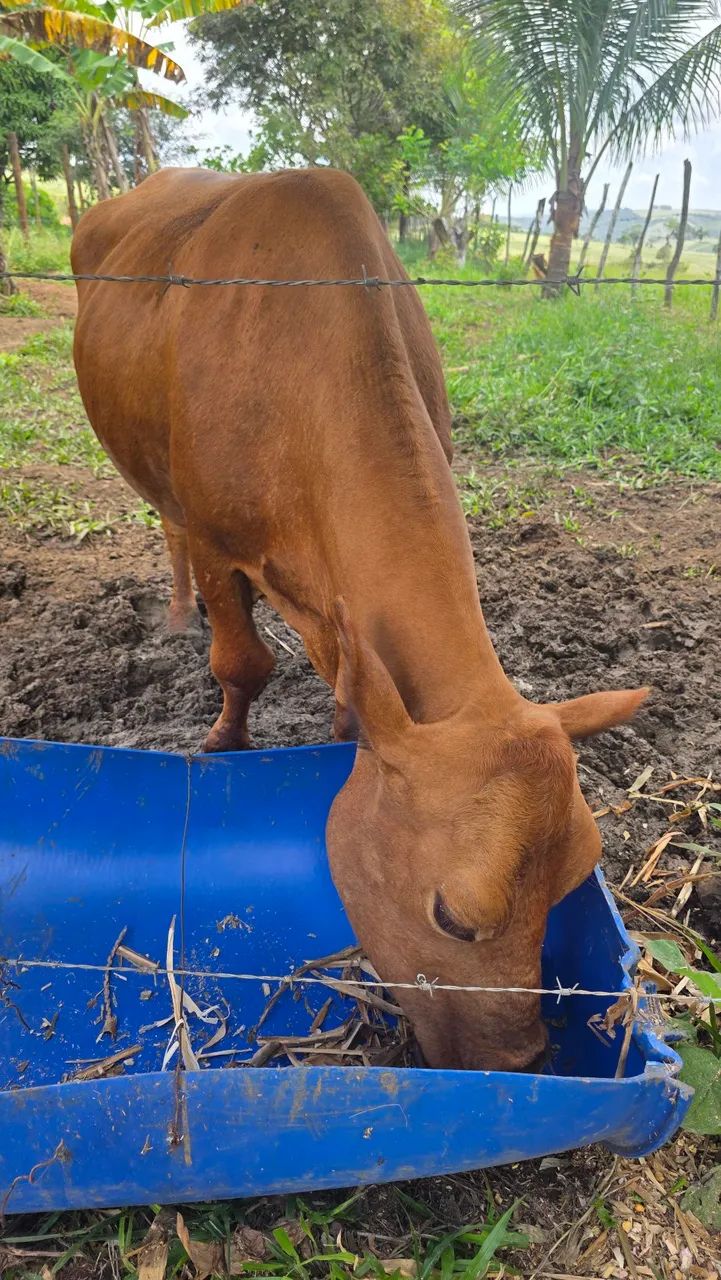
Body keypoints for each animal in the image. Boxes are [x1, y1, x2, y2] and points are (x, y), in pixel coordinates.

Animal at [72, 168, 647, 1072]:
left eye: (567, 884)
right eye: (453, 918)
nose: (523, 1059)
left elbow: (351, 709)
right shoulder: (218, 538)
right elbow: (242, 665)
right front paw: (223, 744)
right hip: (157, 479)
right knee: (166, 523)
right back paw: (178, 610)